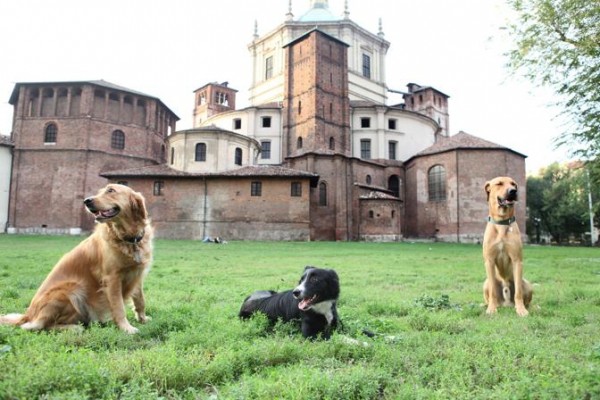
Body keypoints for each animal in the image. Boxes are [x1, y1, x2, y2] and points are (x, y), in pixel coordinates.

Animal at [0, 184, 154, 332]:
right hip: (72, 290)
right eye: (101, 191)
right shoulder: (112, 279)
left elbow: (140, 300)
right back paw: (74, 328)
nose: (87, 201)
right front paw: (126, 328)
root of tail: (28, 315)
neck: (129, 239)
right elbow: (119, 307)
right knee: (42, 325)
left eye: (111, 190)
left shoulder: (137, 274)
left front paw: (143, 319)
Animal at [482, 177, 536, 318]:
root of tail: (506, 304)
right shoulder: (489, 261)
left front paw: (521, 310)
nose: (513, 191)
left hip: (527, 284)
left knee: (526, 297)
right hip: (485, 284)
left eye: (513, 184)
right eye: (499, 183)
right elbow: (493, 292)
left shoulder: (517, 260)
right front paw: (491, 309)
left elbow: (518, 292)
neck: (501, 223)